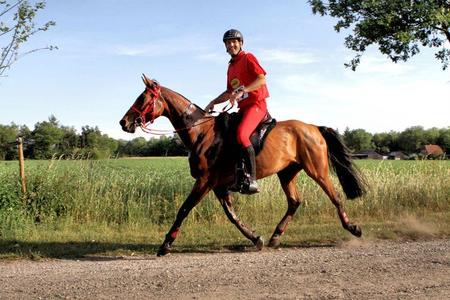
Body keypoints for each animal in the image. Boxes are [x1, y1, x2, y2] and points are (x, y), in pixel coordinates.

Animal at [119, 74, 366, 255]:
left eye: (142, 99)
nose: (124, 122)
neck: (201, 133)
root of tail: (313, 127)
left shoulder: (204, 181)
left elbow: (184, 209)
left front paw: (166, 245)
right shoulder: (218, 185)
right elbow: (232, 215)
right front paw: (256, 238)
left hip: (317, 169)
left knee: (335, 196)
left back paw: (353, 228)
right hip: (287, 173)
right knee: (294, 202)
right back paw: (276, 236)